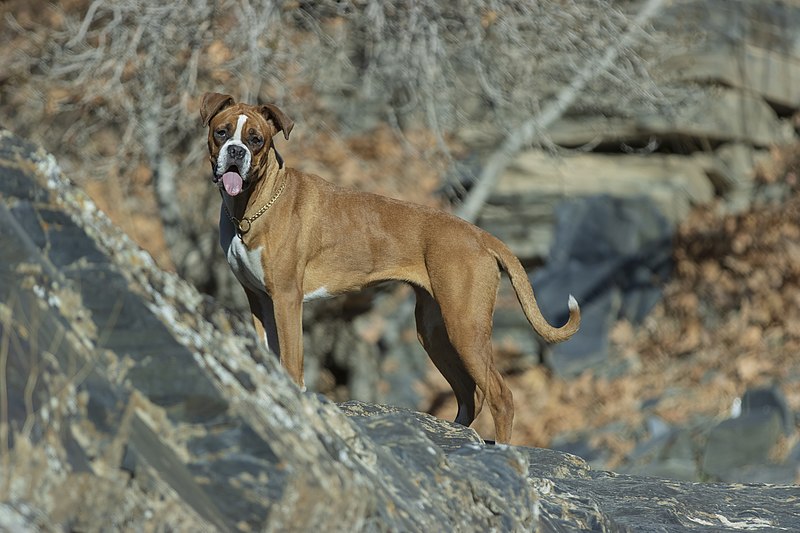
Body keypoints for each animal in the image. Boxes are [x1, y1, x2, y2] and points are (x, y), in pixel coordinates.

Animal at [198, 92, 576, 440]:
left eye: (256, 139)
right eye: (221, 132)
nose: (236, 152)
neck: (253, 208)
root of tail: (480, 235)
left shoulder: (286, 300)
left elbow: (291, 364)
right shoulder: (259, 301)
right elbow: (269, 355)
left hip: (465, 326)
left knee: (500, 395)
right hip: (435, 332)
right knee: (469, 394)